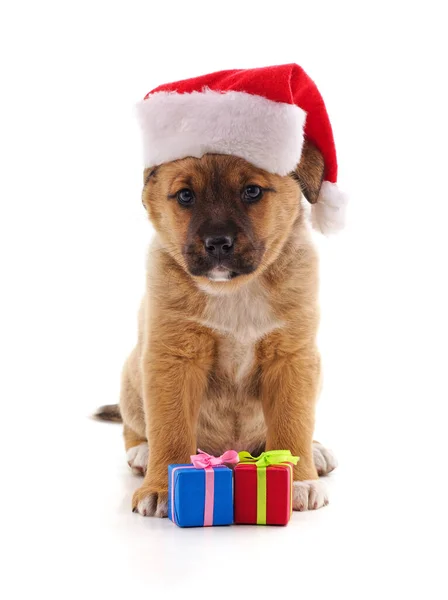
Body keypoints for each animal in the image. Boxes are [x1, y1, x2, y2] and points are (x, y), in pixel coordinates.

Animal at [96, 143, 338, 516]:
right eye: (185, 196)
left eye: (251, 191)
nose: (218, 243)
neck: (234, 291)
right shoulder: (173, 359)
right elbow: (170, 429)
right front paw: (161, 487)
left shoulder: (292, 357)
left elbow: (293, 422)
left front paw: (299, 480)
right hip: (132, 374)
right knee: (134, 427)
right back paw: (143, 452)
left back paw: (316, 450)